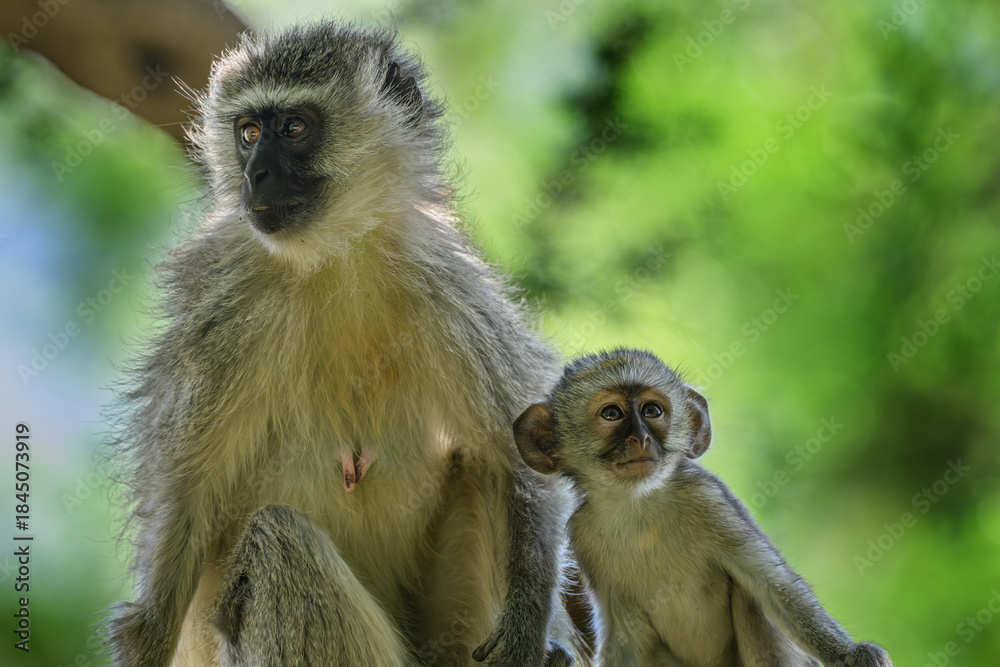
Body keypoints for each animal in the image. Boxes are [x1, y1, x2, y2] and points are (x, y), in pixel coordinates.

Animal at [106, 21, 585, 667]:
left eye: (293, 127)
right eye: (248, 133)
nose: (254, 174)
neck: (336, 257)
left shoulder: (450, 287)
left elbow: (519, 457)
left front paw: (529, 627)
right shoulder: (219, 306)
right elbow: (185, 503)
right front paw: (150, 628)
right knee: (276, 540)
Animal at [513, 348, 893, 667]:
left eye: (652, 411)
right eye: (612, 414)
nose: (642, 438)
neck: (638, 506)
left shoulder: (706, 496)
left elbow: (772, 584)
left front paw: (850, 654)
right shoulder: (583, 533)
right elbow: (624, 636)